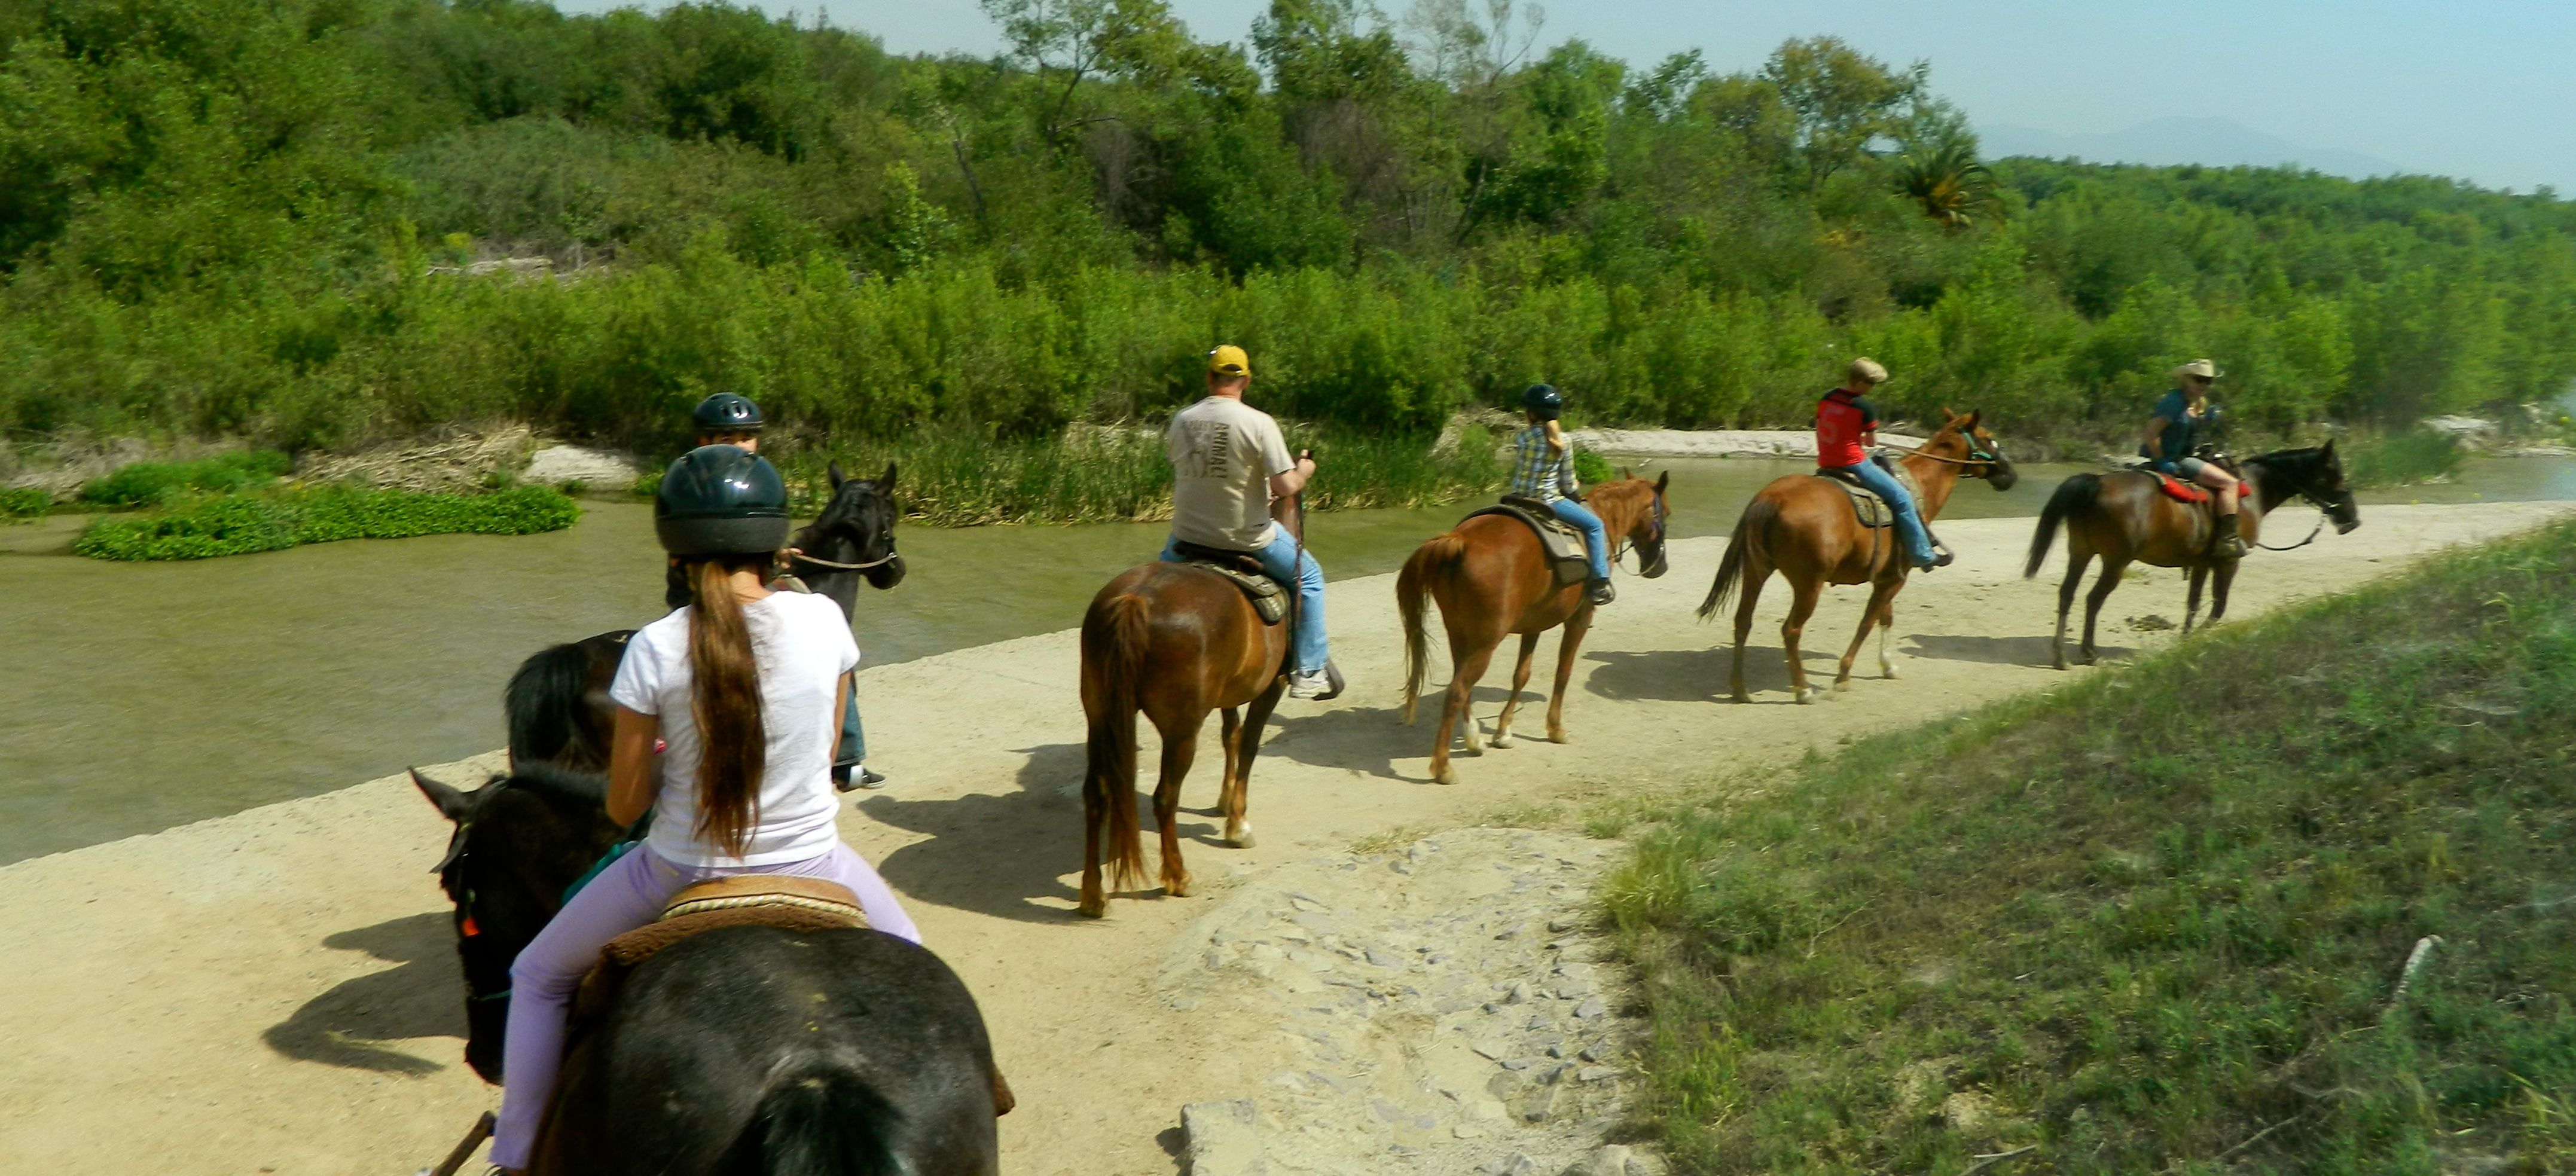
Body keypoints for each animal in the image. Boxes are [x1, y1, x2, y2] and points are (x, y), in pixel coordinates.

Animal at [1072, 499, 1298, 911]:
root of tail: (1137, 599)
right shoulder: (1270, 687)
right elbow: (1250, 745)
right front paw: (1238, 824)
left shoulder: (1230, 694)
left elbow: (1231, 736)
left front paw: (1224, 801)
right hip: (1181, 730)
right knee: (1165, 797)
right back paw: (1178, 878)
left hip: (1099, 716)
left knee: (1097, 792)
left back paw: (1093, 895)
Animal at [1401, 471, 1679, 782]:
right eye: (1666, 512)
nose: (1659, 568)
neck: (1603, 519)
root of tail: (1460, 541)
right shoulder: (1580, 619)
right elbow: (1563, 673)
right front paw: (1556, 729)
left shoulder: (1532, 625)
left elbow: (1521, 675)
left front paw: (1503, 732)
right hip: (1486, 642)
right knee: (1457, 691)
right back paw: (1443, 767)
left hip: (1459, 634)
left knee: (1462, 684)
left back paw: (1473, 739)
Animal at [1700, 411, 2019, 700]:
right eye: (1989, 438)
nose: (2010, 474)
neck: (1918, 485)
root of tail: (1771, 499)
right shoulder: (1893, 579)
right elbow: (1868, 622)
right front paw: (1843, 676)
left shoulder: (1888, 576)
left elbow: (1885, 618)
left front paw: (1888, 666)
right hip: (1808, 585)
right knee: (1791, 630)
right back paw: (1802, 689)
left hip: (1756, 572)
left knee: (1743, 621)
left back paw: (1740, 688)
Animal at [2019, 445, 2360, 669]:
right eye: (2334, 474)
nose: (2353, 520)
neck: (2250, 490)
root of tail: (2097, 482)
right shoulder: (2228, 562)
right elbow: (2218, 606)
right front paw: (2199, 638)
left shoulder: (2201, 562)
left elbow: (2194, 602)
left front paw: (2186, 639)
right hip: (2115, 562)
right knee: (2093, 599)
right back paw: (2088, 653)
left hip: (2080, 553)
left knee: (2067, 594)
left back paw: (2061, 656)